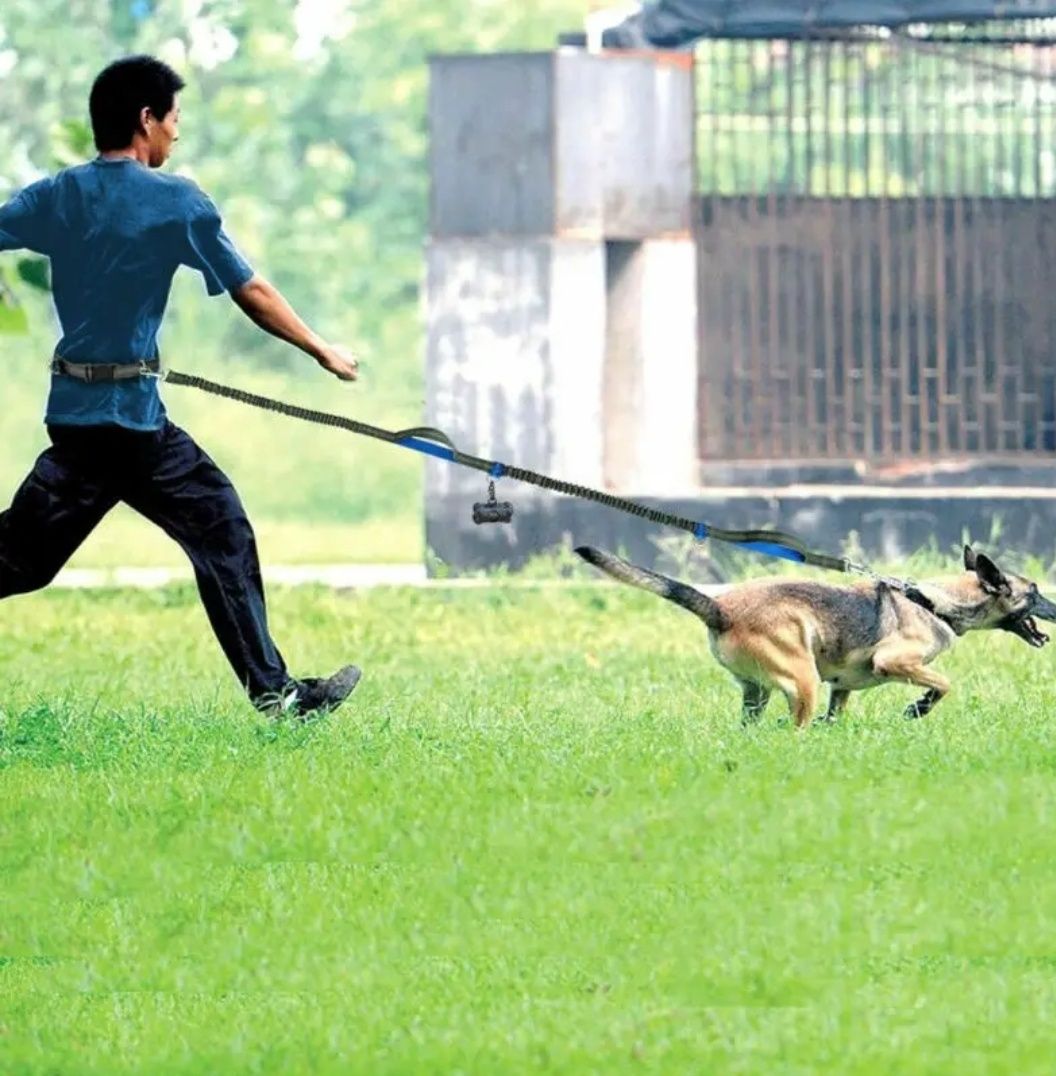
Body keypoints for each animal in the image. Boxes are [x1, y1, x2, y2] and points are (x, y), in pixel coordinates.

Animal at [576, 542, 1054, 727]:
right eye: (1034, 593)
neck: (934, 600)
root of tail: (721, 609)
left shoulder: (841, 688)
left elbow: (837, 709)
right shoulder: (894, 662)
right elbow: (944, 683)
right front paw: (918, 707)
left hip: (756, 693)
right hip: (801, 679)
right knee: (796, 727)